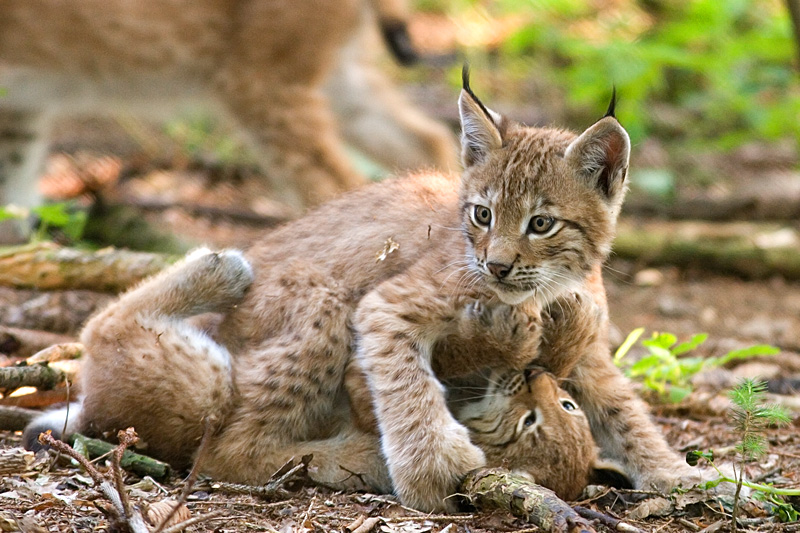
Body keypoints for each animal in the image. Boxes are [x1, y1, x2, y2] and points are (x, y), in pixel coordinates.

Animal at [28, 68, 696, 510]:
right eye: (481, 215)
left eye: (541, 224)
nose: (497, 266)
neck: (545, 287)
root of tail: (98, 409)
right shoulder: (385, 305)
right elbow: (406, 382)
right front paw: (430, 467)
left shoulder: (590, 347)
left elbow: (623, 406)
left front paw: (678, 475)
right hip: (313, 307)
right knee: (217, 446)